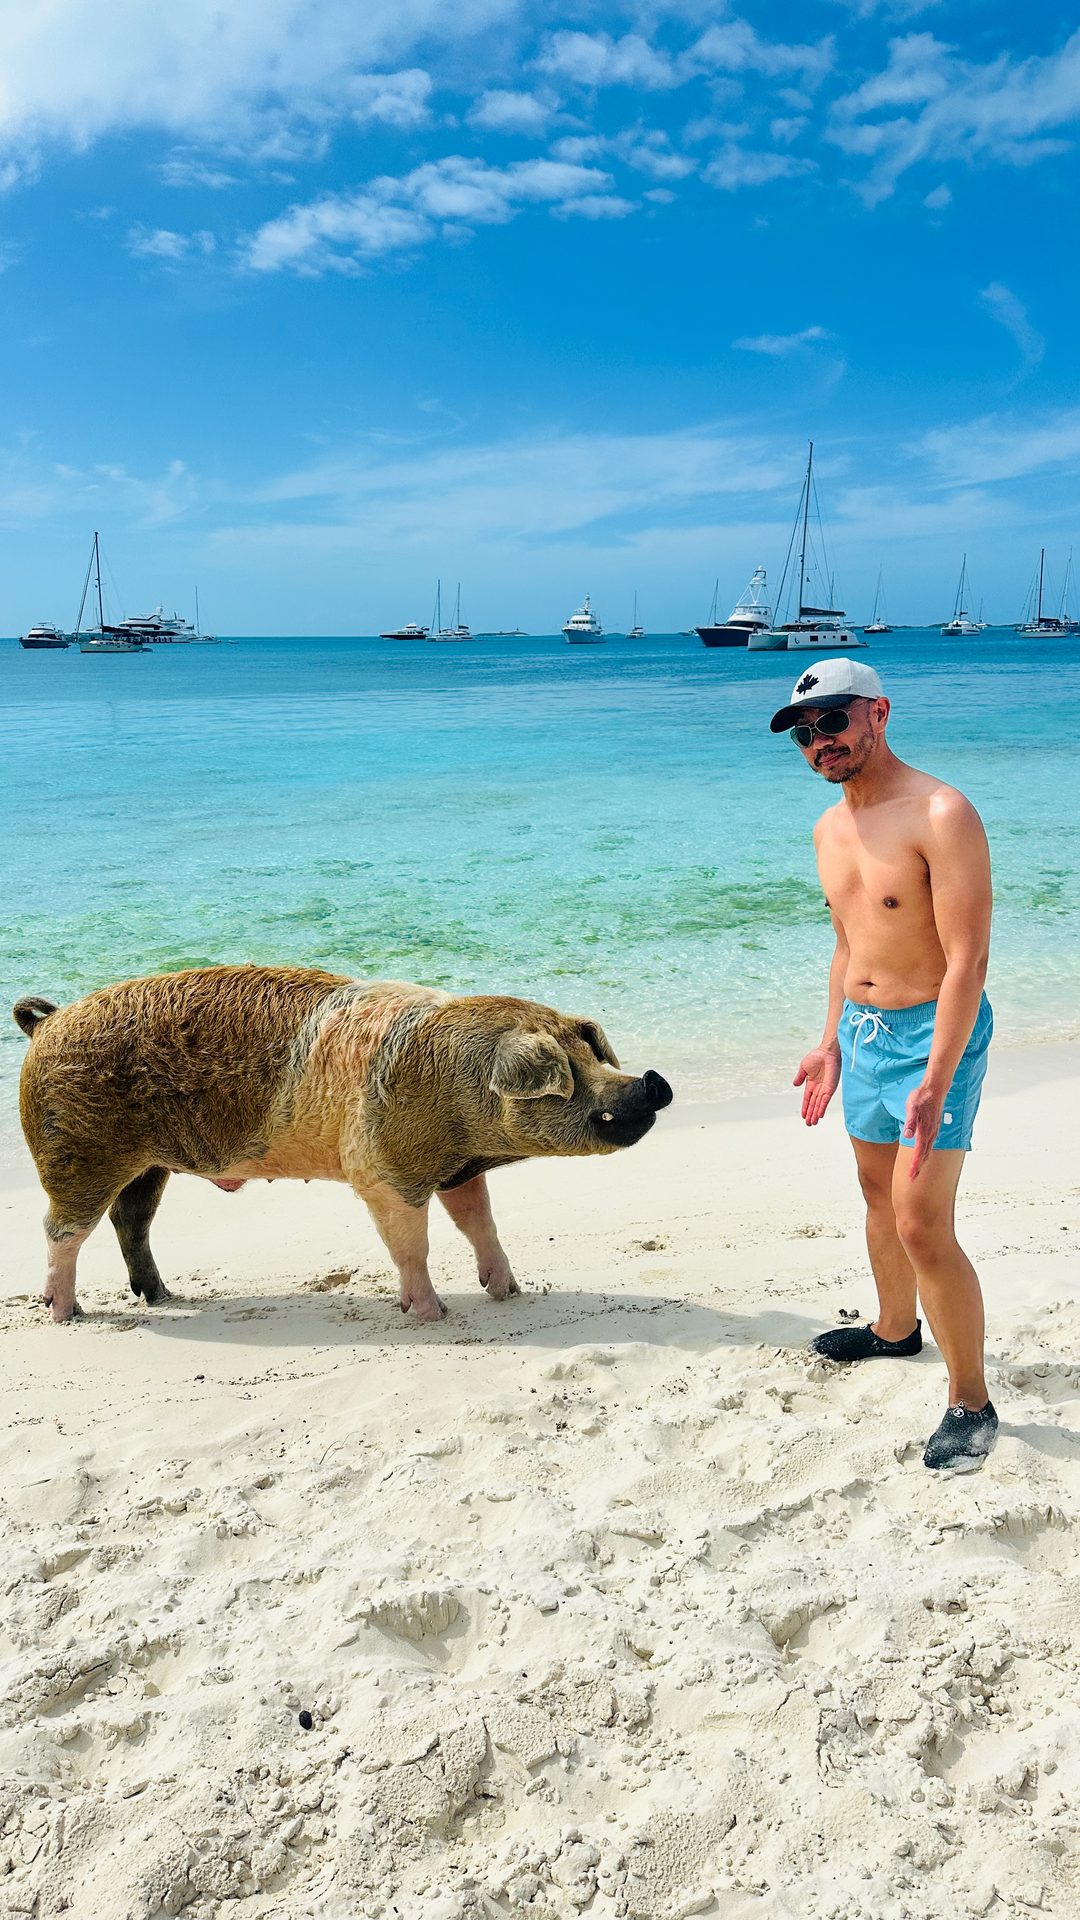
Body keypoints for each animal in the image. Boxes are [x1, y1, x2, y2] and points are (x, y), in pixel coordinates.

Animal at [14, 965, 673, 1323]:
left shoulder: (455, 1168)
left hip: (146, 1165)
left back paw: (161, 1296)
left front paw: (510, 1292)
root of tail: (45, 1023)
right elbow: (412, 1247)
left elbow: (479, 1224)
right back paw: (66, 1312)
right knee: (61, 1230)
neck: (456, 1092)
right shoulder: (381, 1171)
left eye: (594, 1053)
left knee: (131, 1220)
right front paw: (432, 1313)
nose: (651, 1082)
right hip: (76, 1152)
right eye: (567, 1070)